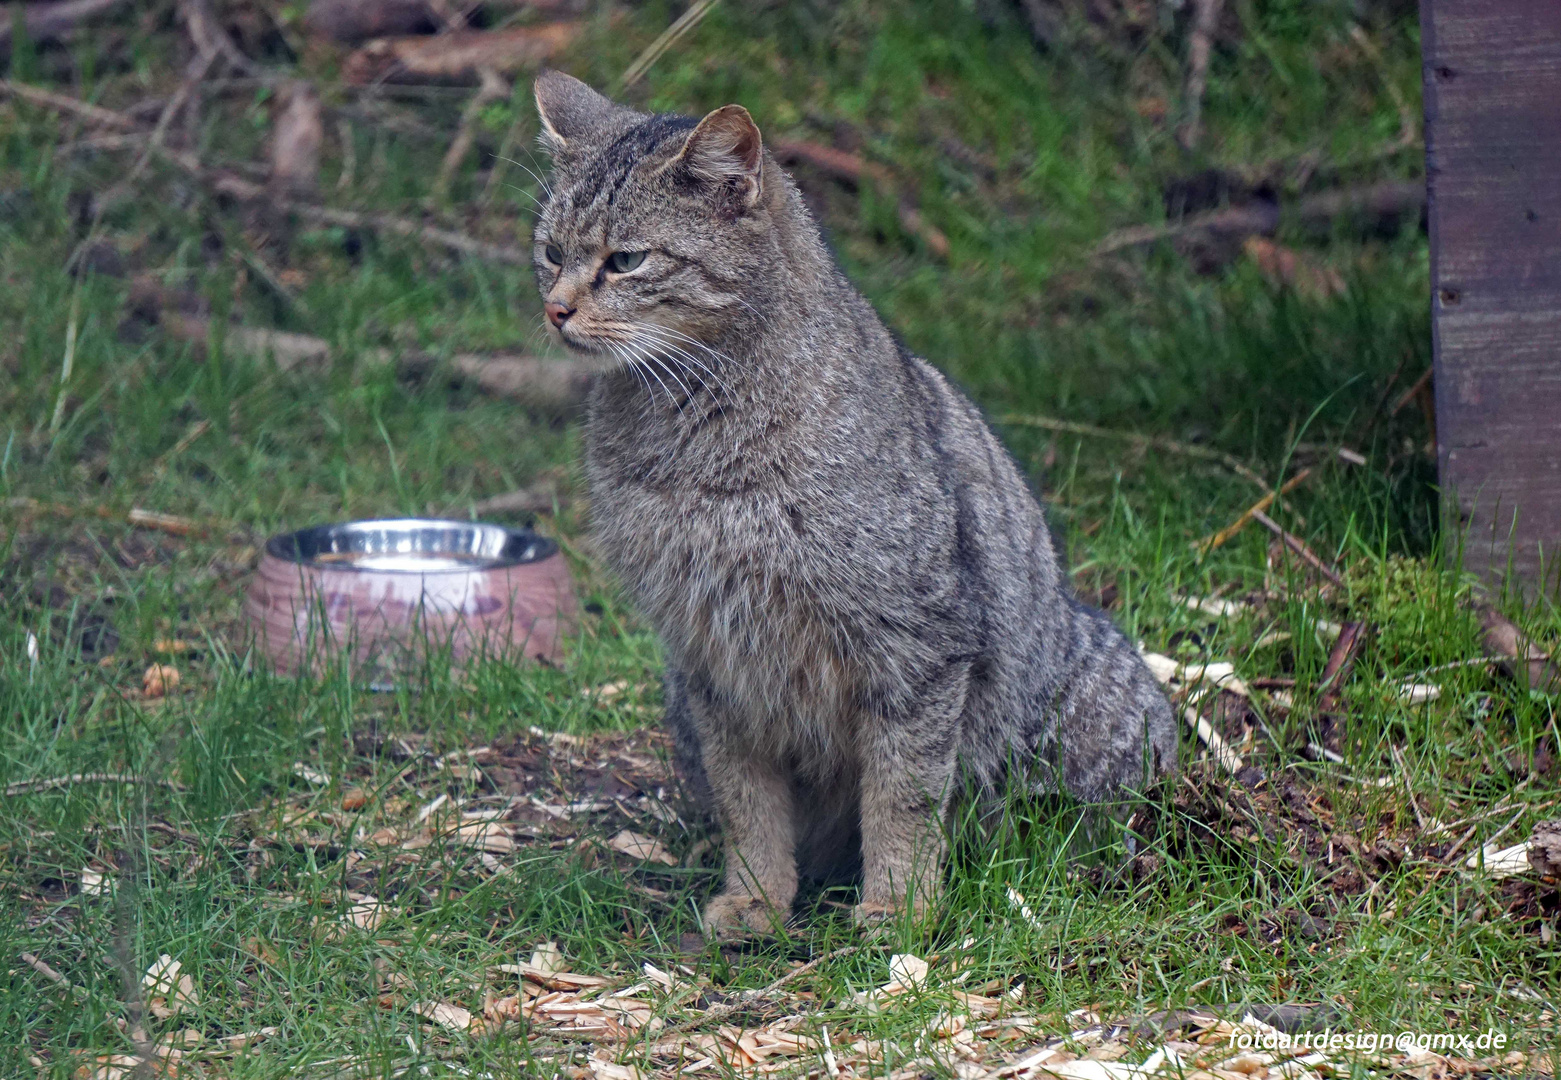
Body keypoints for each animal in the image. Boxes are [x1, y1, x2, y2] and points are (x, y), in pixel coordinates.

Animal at [527, 71, 1173, 930]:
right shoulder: (712, 656)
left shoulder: (915, 645)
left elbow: (903, 793)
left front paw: (898, 905)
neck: (693, 426)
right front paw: (758, 896)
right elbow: (746, 798)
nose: (555, 309)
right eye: (551, 252)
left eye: (625, 260)